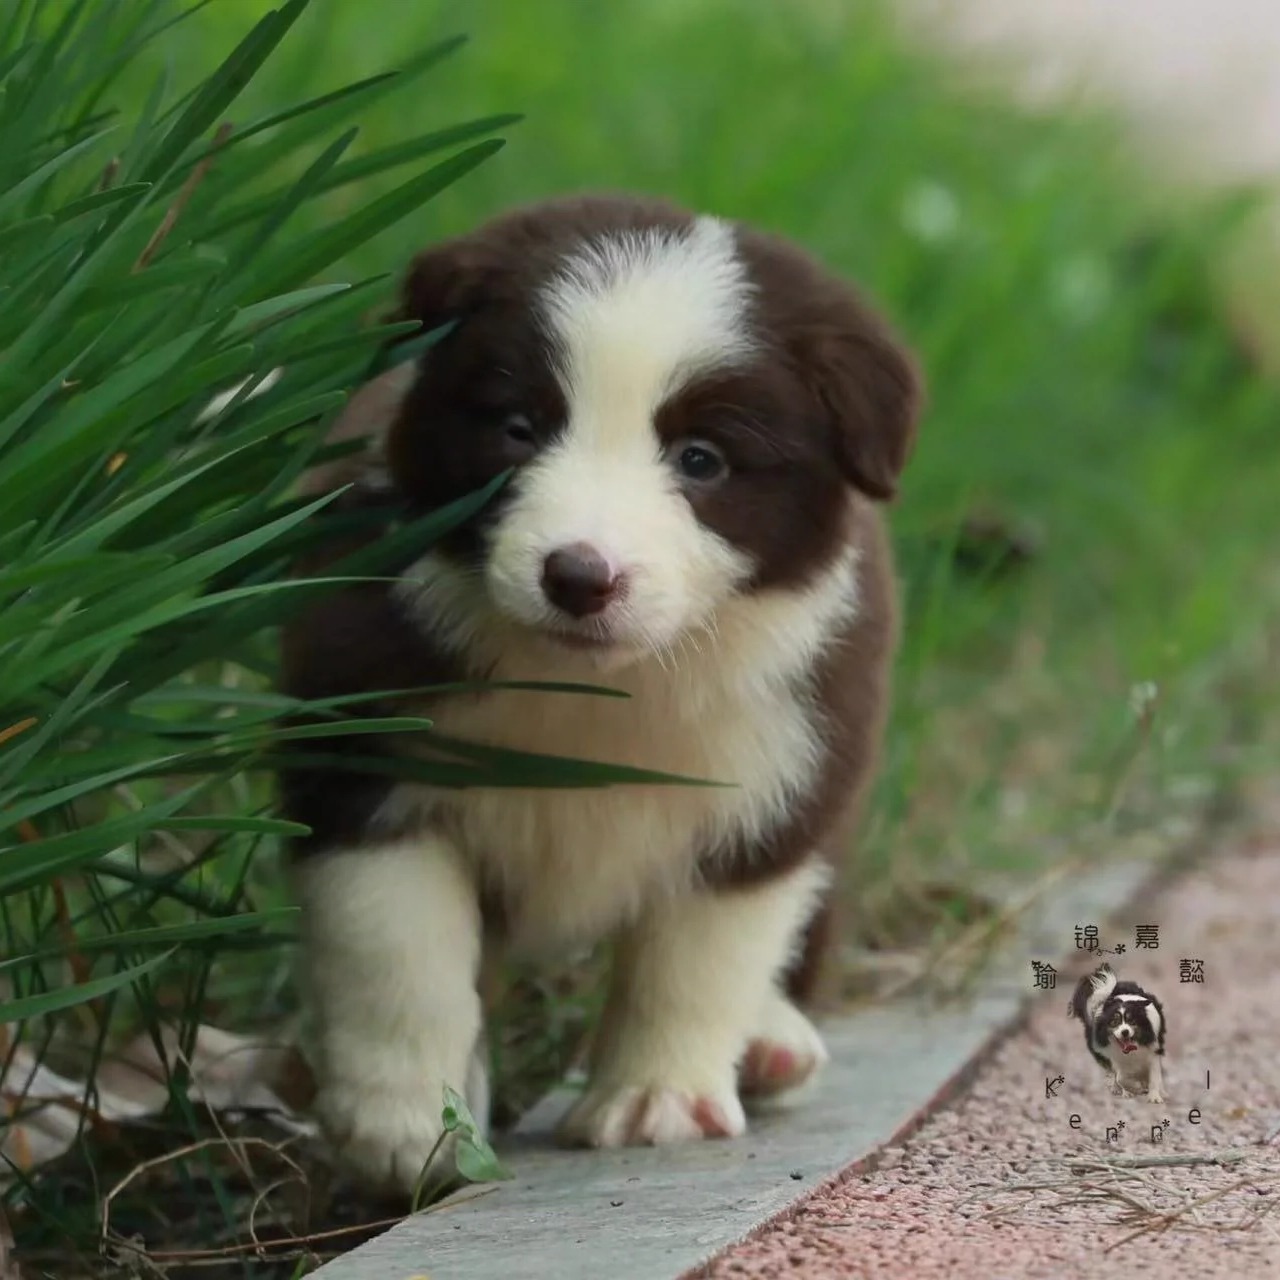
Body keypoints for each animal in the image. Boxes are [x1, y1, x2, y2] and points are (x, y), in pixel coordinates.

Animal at [277, 189, 921, 1187]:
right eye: (519, 427)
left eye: (702, 459)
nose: (579, 576)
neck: (602, 690)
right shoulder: (360, 749)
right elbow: (399, 953)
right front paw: (408, 1124)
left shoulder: (782, 773)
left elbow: (699, 953)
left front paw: (658, 1100)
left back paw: (772, 1042)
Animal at [1070, 962, 1172, 1105]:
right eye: (1114, 1022)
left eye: (1132, 1021)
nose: (1125, 1032)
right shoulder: (1116, 1058)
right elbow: (1121, 1078)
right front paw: (1135, 1088)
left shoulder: (1153, 1051)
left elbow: (1154, 1076)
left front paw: (1155, 1096)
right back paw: (1124, 1090)